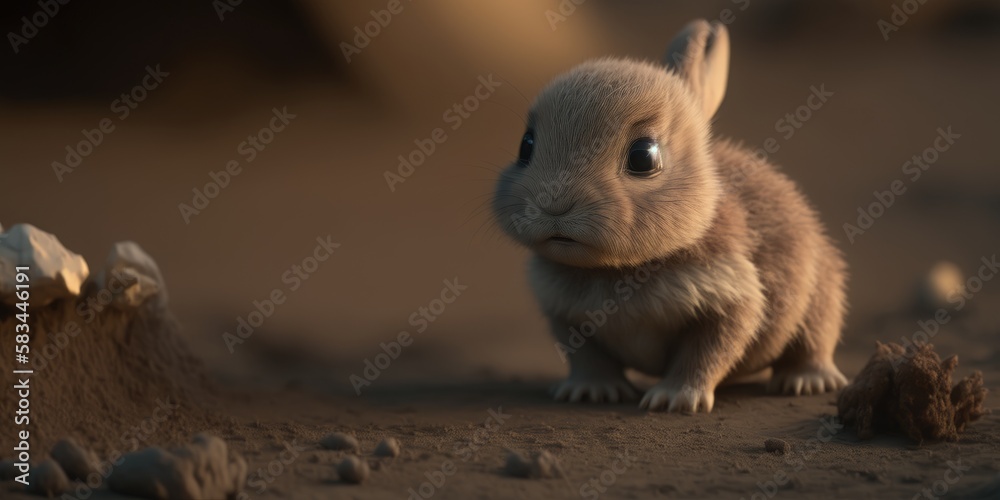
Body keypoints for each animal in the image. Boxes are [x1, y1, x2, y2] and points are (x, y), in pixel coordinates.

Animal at [491, 19, 848, 412]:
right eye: (526, 145)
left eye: (643, 157)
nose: (553, 204)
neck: (618, 269)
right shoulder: (564, 315)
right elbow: (587, 358)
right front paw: (590, 392)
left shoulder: (732, 297)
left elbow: (705, 355)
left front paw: (675, 399)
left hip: (822, 292)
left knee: (815, 337)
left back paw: (807, 381)